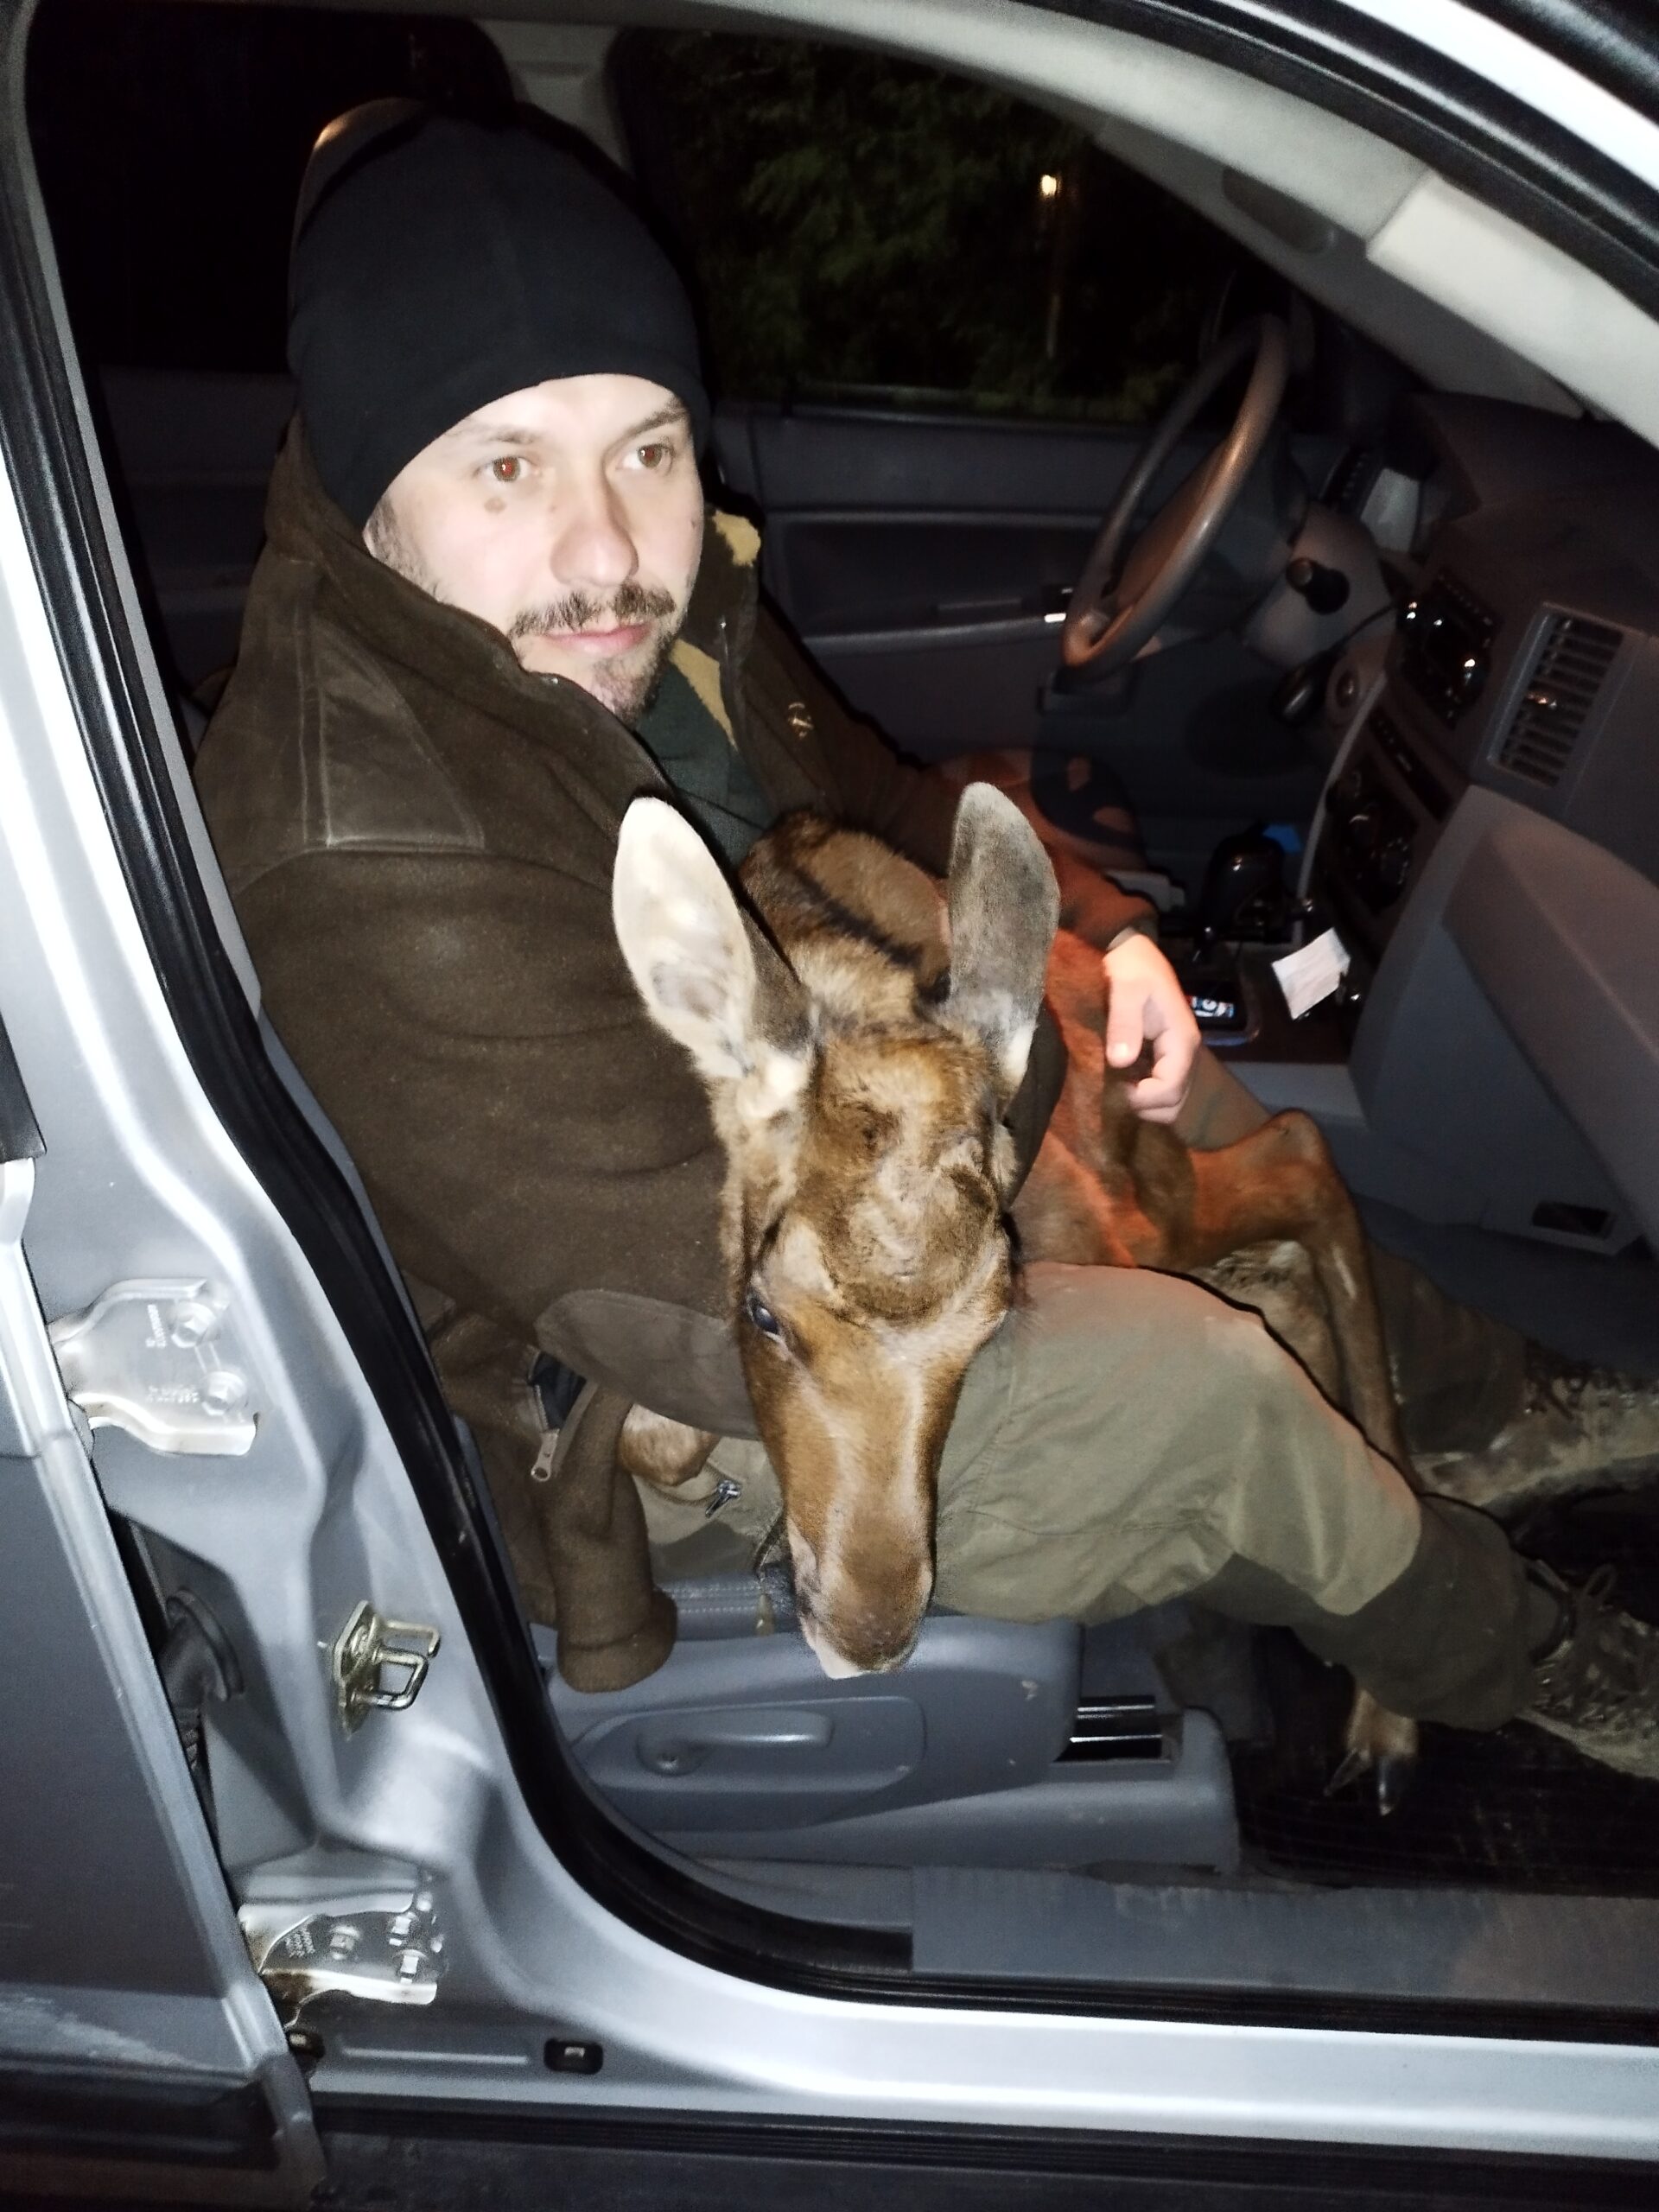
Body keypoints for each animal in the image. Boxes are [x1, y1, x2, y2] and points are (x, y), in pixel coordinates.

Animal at [611, 783, 1419, 1809]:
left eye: (988, 1324)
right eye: (763, 1312)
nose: (869, 1640)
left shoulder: (1094, 1230)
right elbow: (648, 1427)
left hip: (1151, 1204)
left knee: (1302, 1155)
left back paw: (1387, 1721)